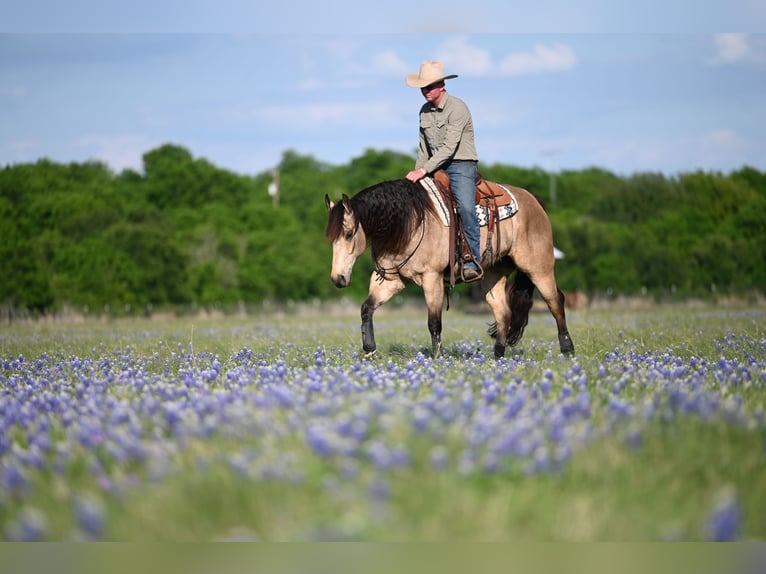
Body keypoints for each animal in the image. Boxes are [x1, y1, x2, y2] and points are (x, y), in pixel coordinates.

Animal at [324, 176, 574, 359]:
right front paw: (369, 349)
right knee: (504, 313)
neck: (408, 223)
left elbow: (434, 322)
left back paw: (568, 349)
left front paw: (438, 358)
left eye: (348, 234)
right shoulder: (390, 281)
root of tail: (534, 200)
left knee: (555, 302)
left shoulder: (432, 278)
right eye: (330, 238)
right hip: (493, 275)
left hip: (538, 268)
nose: (338, 278)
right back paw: (498, 356)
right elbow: (366, 308)